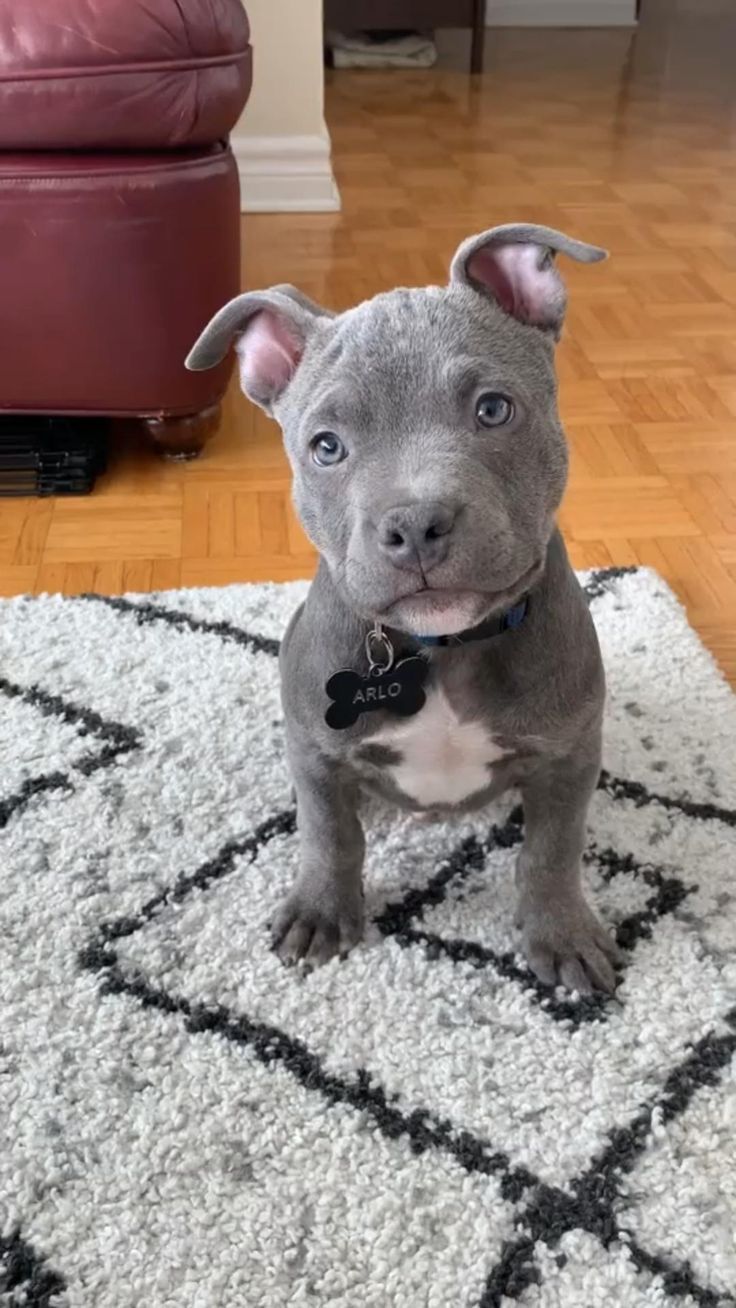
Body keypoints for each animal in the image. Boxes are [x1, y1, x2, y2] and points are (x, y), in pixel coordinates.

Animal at [185, 222, 622, 988]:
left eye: (493, 409)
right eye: (326, 447)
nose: (415, 523)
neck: (443, 648)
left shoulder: (570, 757)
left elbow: (552, 851)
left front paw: (563, 933)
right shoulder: (317, 756)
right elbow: (330, 836)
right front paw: (322, 911)